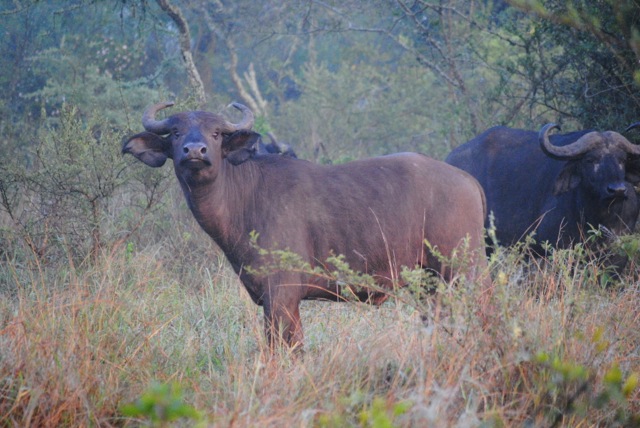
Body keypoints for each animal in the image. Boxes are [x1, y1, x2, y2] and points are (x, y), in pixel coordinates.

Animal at [122, 102, 488, 350]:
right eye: (176, 133)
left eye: (215, 133)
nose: (194, 151)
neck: (245, 195)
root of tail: (468, 180)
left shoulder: (281, 297)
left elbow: (282, 349)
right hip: (430, 284)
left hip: (461, 273)